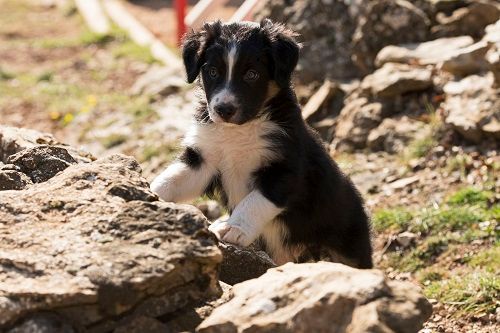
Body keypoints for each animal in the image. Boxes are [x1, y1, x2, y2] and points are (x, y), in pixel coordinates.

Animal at [150, 18, 374, 268]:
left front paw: (234, 228)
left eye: (251, 74)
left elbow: (255, 200)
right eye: (213, 71)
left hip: (345, 244)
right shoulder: (203, 158)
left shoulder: (286, 169)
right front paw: (149, 193)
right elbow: (172, 179)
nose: (224, 109)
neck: (239, 131)